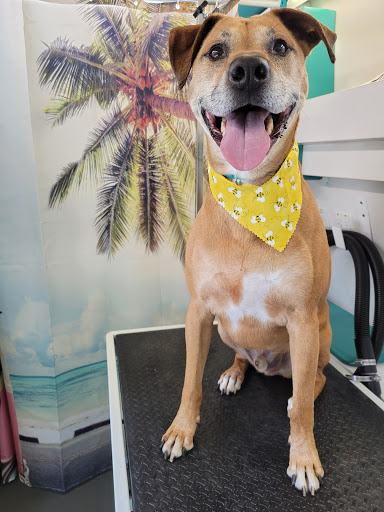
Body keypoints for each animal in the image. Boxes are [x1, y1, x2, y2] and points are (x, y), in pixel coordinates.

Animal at [162, 8, 336, 496]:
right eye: (216, 52)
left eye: (279, 46)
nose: (248, 70)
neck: (253, 201)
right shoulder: (199, 311)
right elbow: (189, 381)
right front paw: (182, 430)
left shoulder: (301, 320)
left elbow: (306, 409)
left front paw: (303, 457)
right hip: (226, 331)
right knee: (241, 354)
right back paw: (236, 372)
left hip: (317, 341)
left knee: (313, 383)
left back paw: (294, 398)